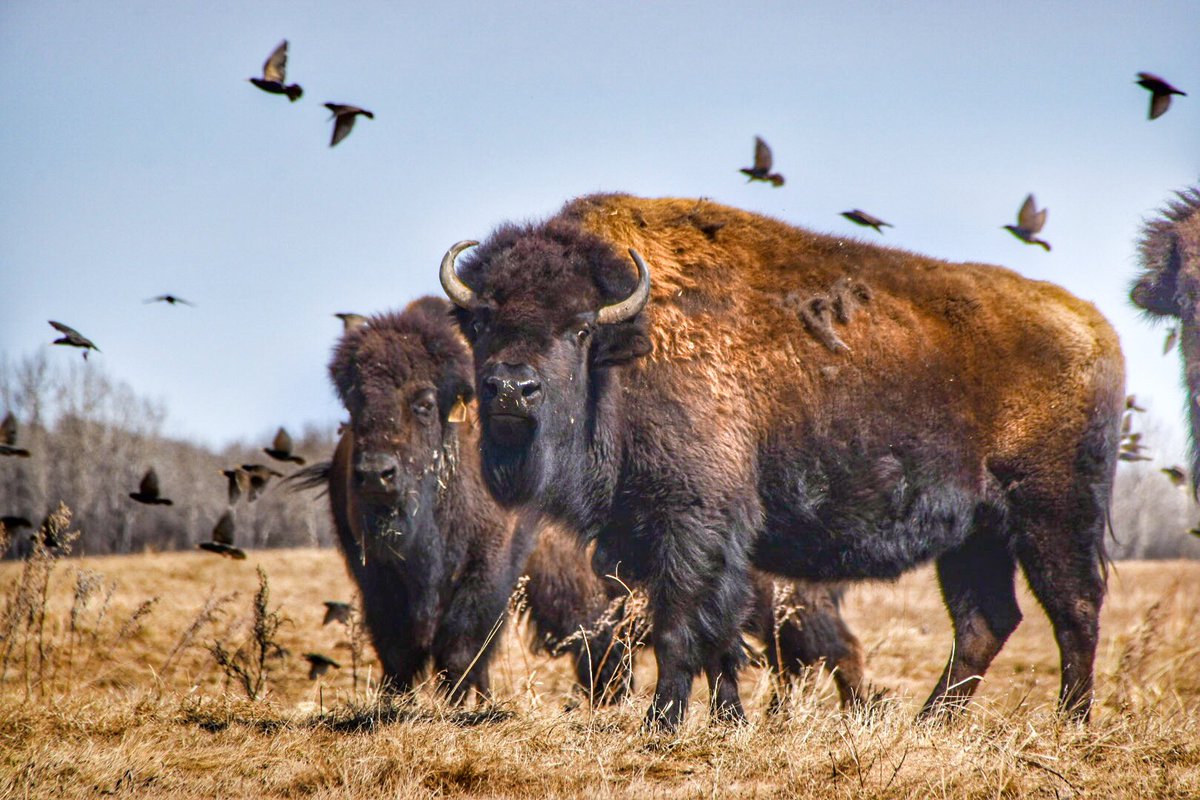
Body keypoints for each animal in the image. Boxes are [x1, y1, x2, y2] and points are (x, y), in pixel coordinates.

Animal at [440, 193, 1124, 728]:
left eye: (579, 328)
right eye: (482, 320)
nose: (511, 389)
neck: (629, 347)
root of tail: (1096, 328)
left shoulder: (692, 525)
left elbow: (680, 627)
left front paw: (662, 724)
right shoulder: (689, 542)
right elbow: (720, 638)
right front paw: (728, 721)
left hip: (1052, 515)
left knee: (1075, 608)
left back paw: (1070, 721)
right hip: (975, 536)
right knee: (985, 620)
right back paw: (934, 722)